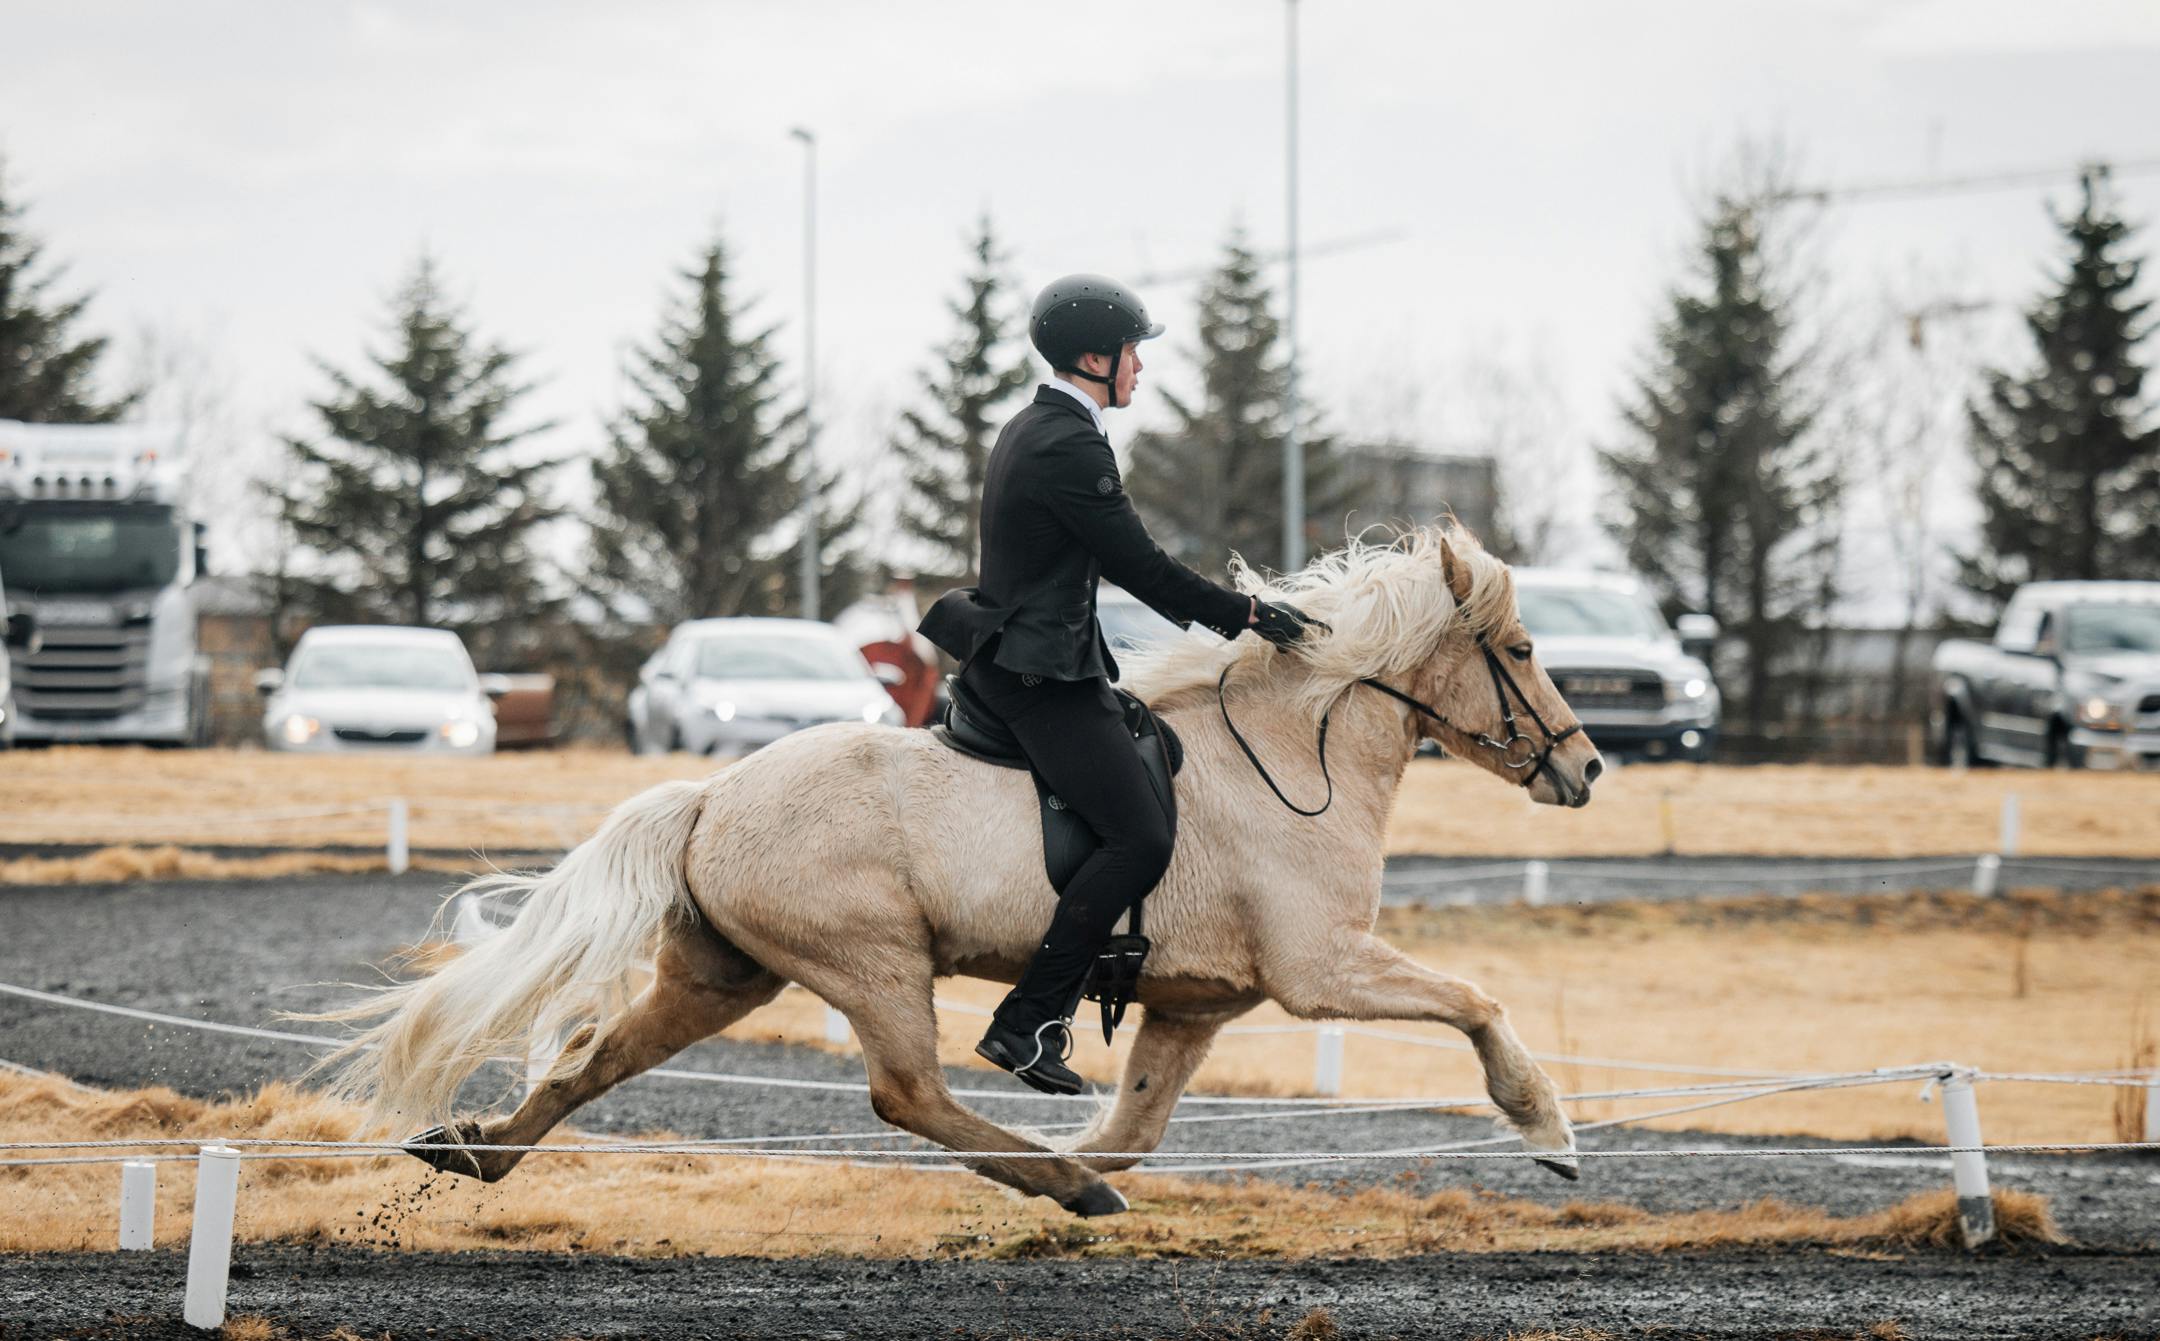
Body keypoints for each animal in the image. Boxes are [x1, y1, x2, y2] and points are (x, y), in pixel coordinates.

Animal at [319, 522, 1607, 1209]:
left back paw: (478, 1152)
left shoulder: (1196, 1006)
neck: (1290, 757)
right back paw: (1056, 1183)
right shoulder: (1322, 968)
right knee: (910, 1094)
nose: (1587, 768)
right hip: (875, 964)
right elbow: (1475, 1003)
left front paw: (1090, 1159)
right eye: (1521, 649)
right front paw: (1546, 1129)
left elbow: (1140, 1122)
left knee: (597, 1058)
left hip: (723, 977)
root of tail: (712, 796)